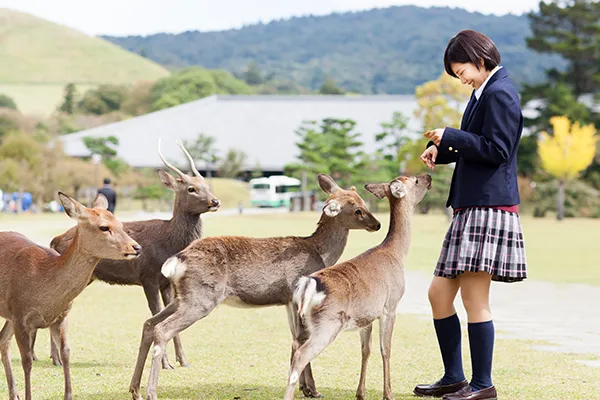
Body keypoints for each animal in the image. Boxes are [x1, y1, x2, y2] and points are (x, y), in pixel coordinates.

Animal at [0, 192, 142, 400]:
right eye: (104, 227)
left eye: (121, 224)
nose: (136, 247)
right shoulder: (20, 316)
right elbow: (27, 361)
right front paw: (27, 395)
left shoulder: (62, 316)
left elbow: (66, 353)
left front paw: (68, 394)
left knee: (3, 341)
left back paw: (14, 394)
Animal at [30, 139, 220, 370]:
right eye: (191, 188)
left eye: (207, 185)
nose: (215, 201)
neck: (169, 242)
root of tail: (54, 240)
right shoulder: (147, 276)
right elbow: (155, 313)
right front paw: (166, 363)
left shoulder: (166, 282)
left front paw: (182, 361)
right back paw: (53, 358)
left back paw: (48, 356)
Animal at [127, 174, 382, 400]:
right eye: (357, 210)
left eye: (362, 201)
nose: (377, 224)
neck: (319, 253)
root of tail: (177, 260)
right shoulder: (296, 295)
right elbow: (302, 339)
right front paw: (313, 390)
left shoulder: (288, 300)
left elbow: (295, 339)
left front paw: (306, 388)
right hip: (201, 298)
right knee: (163, 329)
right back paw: (151, 393)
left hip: (183, 296)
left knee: (149, 324)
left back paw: (135, 390)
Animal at [284, 173, 432, 400]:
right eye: (415, 181)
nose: (429, 175)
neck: (397, 254)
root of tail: (308, 286)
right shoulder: (390, 305)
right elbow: (385, 349)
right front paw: (388, 394)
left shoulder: (367, 316)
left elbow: (366, 350)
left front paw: (360, 393)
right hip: (328, 324)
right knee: (301, 355)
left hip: (304, 322)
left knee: (294, 346)